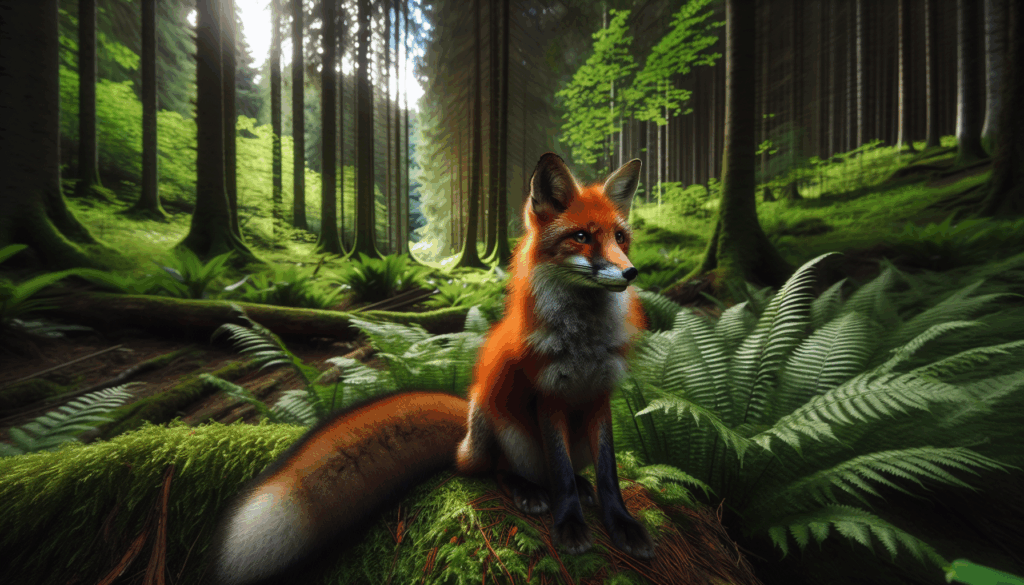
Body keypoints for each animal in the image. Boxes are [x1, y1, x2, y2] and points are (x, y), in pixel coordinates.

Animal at [205, 153, 653, 585]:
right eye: (581, 237)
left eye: (620, 237)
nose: (631, 271)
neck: (583, 343)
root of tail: (464, 436)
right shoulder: (548, 398)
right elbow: (559, 473)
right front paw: (570, 526)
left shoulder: (600, 397)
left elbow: (609, 474)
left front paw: (623, 525)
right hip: (495, 424)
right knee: (494, 470)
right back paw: (526, 489)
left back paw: (579, 484)